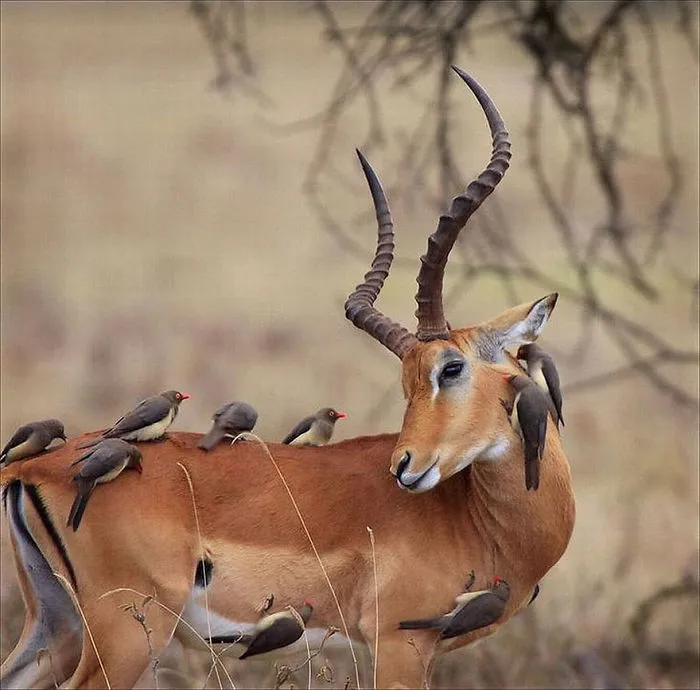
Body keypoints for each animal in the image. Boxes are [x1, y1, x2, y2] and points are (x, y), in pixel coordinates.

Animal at [0, 67, 575, 690]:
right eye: (414, 379)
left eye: (450, 367)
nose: (405, 466)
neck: (476, 516)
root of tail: (32, 467)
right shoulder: (398, 645)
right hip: (124, 635)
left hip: (55, 626)